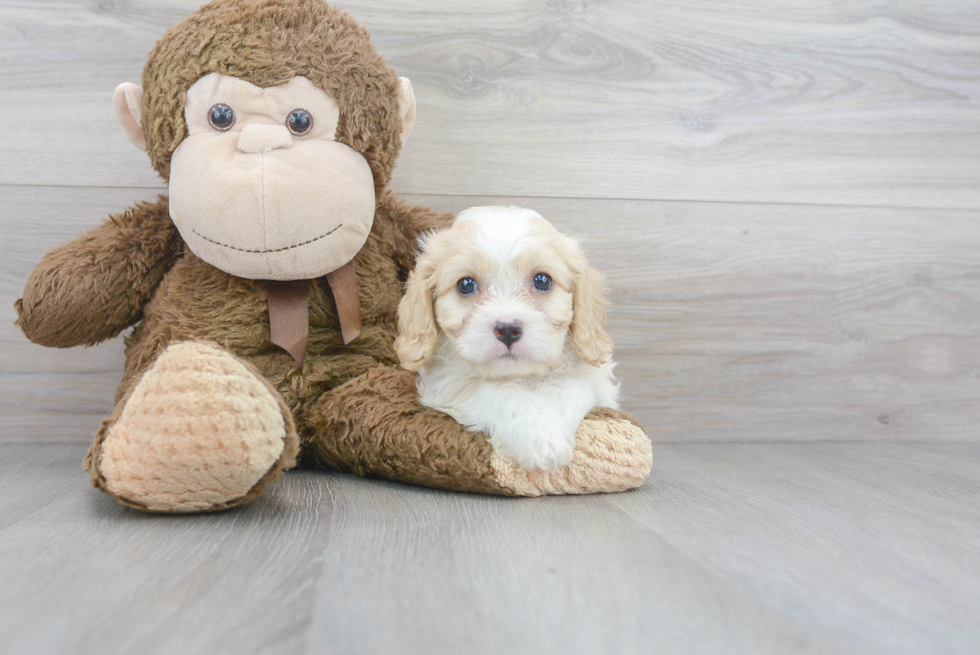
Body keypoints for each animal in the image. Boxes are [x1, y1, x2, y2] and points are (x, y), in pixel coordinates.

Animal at [392, 206, 616, 472]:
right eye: (465, 285)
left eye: (542, 280)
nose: (508, 329)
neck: (520, 374)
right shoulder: (446, 385)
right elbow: (502, 394)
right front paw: (541, 437)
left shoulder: (598, 385)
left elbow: (570, 386)